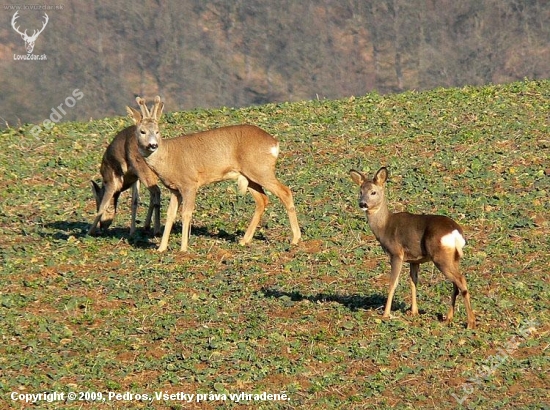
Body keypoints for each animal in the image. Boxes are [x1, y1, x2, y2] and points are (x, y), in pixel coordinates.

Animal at [128, 96, 302, 251]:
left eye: (157, 131)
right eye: (142, 131)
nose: (153, 145)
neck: (168, 157)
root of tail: (274, 143)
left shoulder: (190, 184)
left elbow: (186, 213)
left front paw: (183, 249)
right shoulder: (174, 189)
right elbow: (170, 214)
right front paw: (161, 248)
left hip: (261, 170)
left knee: (285, 192)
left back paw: (295, 239)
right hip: (250, 175)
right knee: (262, 200)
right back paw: (244, 240)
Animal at [354, 167, 478, 330]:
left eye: (373, 192)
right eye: (360, 191)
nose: (362, 204)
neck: (384, 227)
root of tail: (456, 233)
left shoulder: (396, 253)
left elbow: (393, 283)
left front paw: (386, 315)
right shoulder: (414, 260)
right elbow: (413, 282)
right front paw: (414, 311)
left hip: (440, 257)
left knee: (461, 281)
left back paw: (470, 322)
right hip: (453, 258)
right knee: (455, 283)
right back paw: (448, 318)